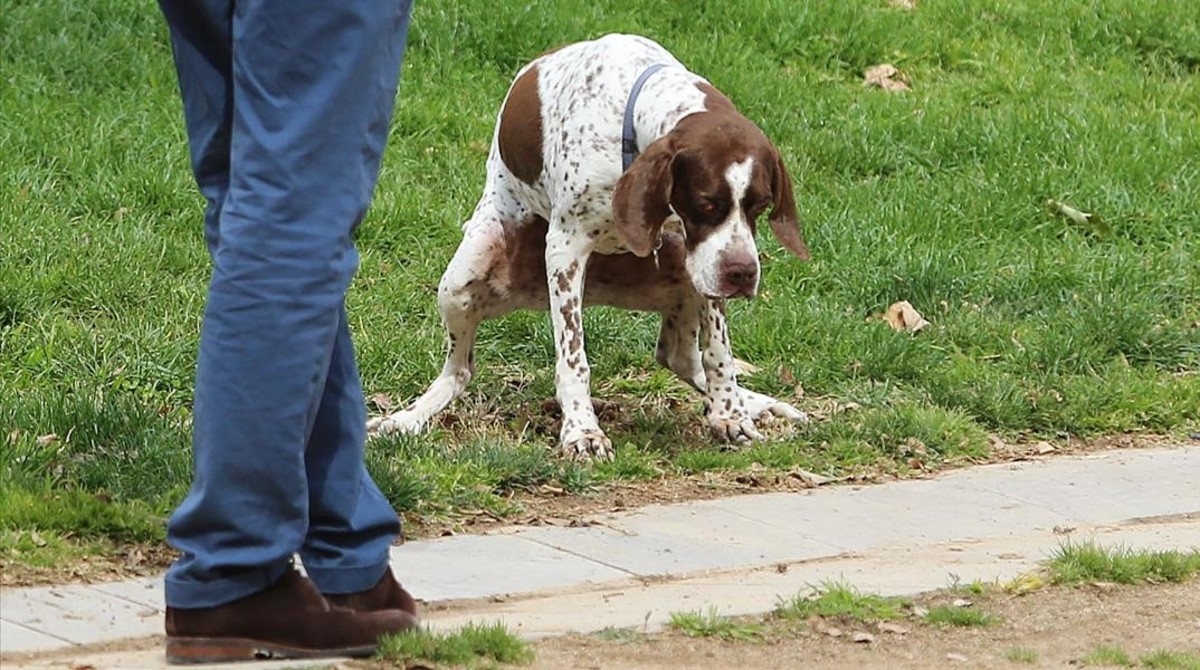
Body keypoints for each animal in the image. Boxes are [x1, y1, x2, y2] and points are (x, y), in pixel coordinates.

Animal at [369, 34, 811, 458]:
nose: (743, 274)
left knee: (680, 357)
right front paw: (582, 431)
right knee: (458, 372)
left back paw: (753, 401)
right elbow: (573, 359)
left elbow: (718, 353)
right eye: (706, 204)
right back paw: (406, 419)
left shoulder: (705, 260)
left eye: (760, 206)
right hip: (461, 281)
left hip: (683, 268)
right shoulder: (566, 248)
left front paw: (731, 414)